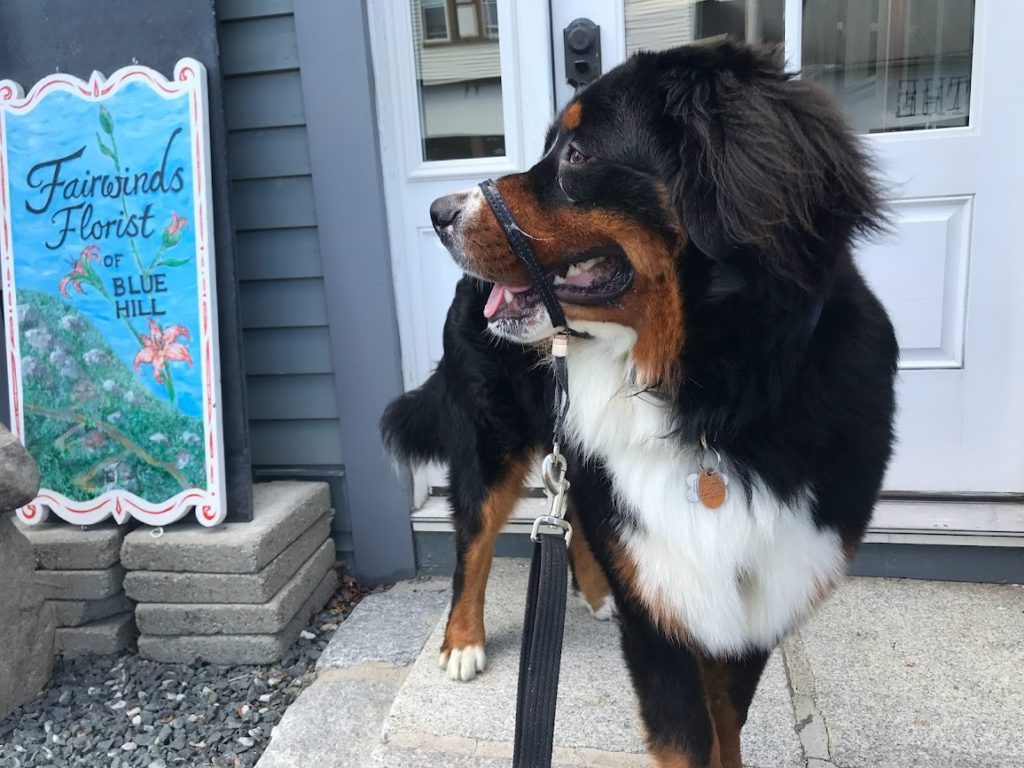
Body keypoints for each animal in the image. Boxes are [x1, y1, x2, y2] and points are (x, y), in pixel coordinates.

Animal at [382, 41, 897, 768]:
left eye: (576, 155)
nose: (439, 212)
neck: (710, 407)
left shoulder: (757, 599)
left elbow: (725, 726)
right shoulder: (663, 620)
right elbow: (689, 740)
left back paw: (597, 592)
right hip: (491, 442)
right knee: (473, 540)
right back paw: (462, 641)